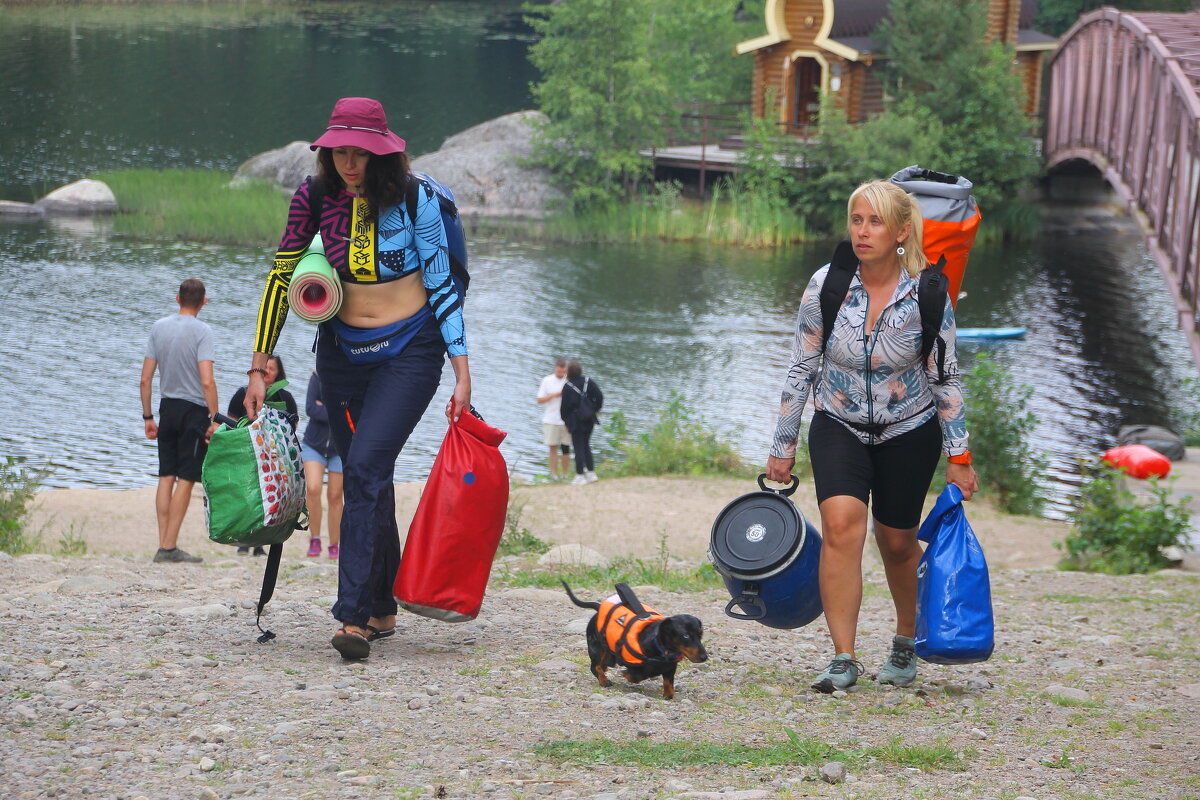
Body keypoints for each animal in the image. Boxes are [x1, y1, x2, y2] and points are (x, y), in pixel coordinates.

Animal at [559, 582, 705, 700]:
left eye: (700, 634)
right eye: (685, 636)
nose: (704, 657)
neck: (662, 651)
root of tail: (599, 608)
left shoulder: (670, 669)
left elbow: (669, 686)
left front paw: (667, 695)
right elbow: (637, 676)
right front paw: (626, 674)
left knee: (601, 666)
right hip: (597, 648)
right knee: (595, 667)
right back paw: (604, 681)